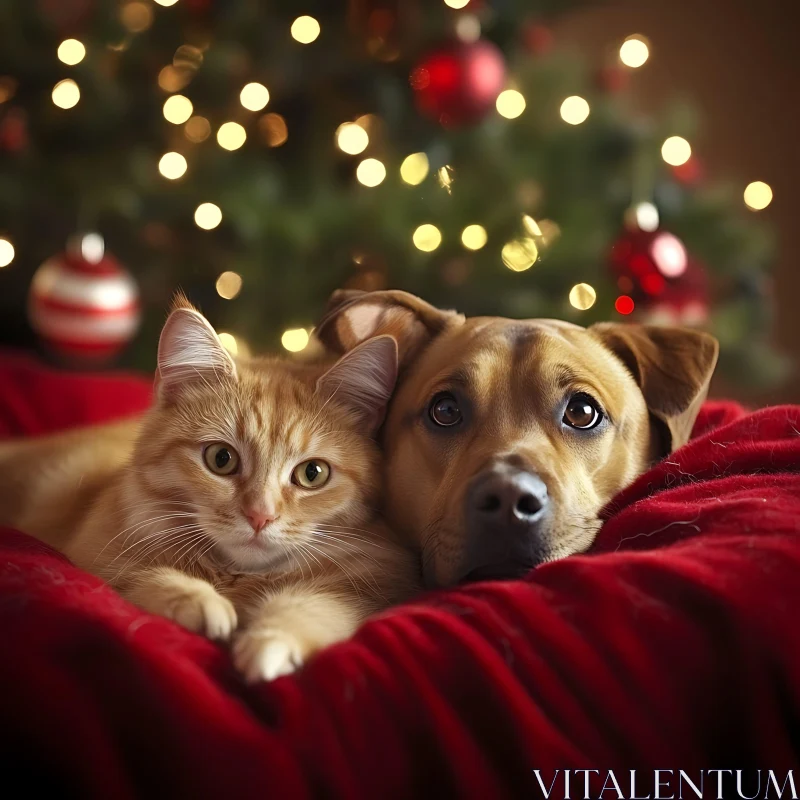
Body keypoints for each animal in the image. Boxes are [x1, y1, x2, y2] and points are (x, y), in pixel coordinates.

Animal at [0, 296, 422, 684]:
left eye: (312, 474)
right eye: (221, 459)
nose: (259, 516)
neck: (238, 578)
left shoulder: (364, 591)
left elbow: (312, 606)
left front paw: (269, 643)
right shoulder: (95, 556)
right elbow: (147, 576)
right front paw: (199, 601)